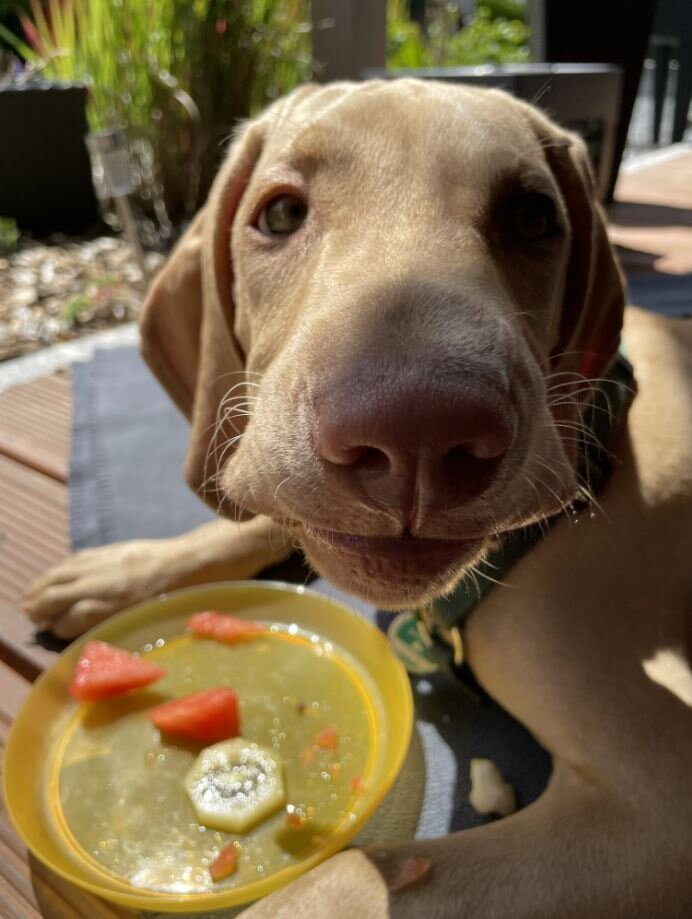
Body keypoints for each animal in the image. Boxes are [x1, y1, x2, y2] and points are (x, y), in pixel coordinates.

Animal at [23, 82, 692, 916]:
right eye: (280, 213)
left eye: (534, 219)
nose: (416, 430)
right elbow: (260, 511)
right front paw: (118, 571)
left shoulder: (657, 796)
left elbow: (340, 878)